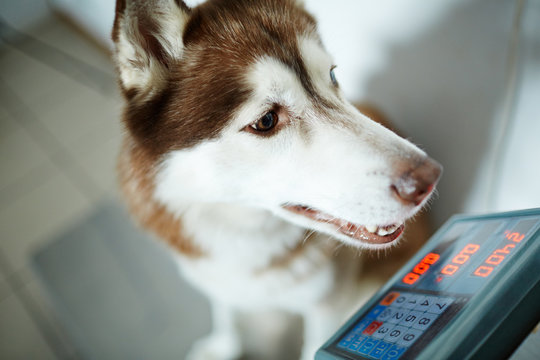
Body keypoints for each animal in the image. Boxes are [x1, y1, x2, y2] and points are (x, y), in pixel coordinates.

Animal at [112, 1, 440, 358]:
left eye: (331, 75)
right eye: (266, 121)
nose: (430, 178)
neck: (243, 236)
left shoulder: (327, 305)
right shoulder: (214, 276)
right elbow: (225, 310)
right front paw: (222, 345)